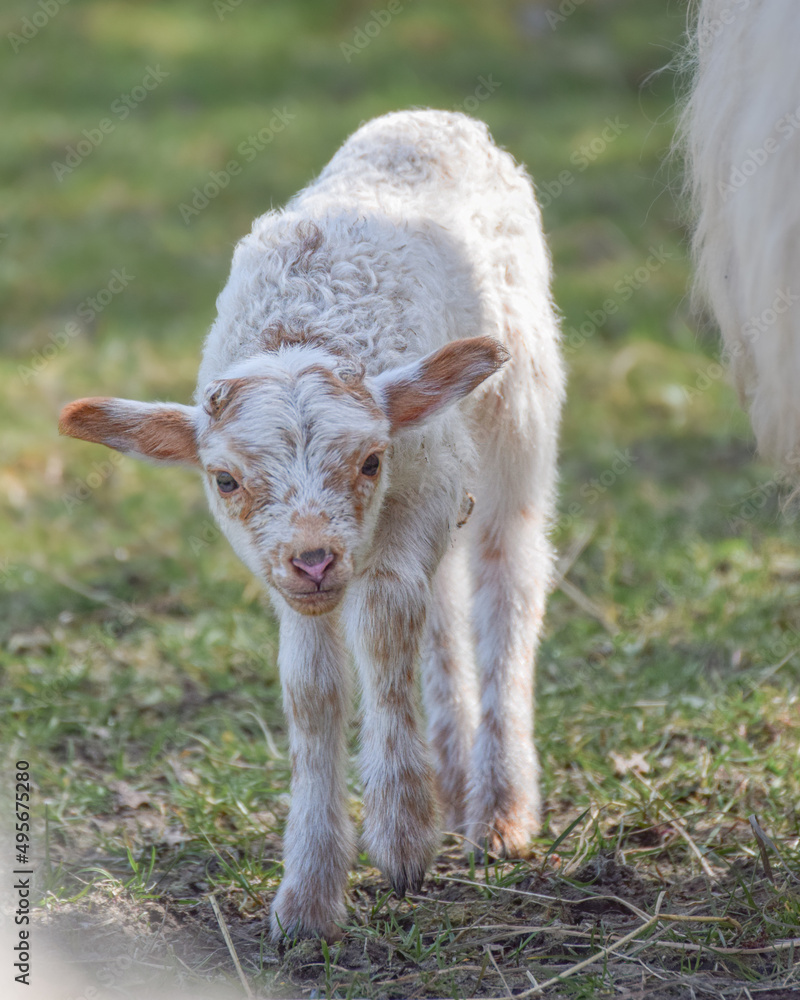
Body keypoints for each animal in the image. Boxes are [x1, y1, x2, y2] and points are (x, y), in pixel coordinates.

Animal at [58, 109, 565, 940]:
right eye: (225, 479)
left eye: (369, 460)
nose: (316, 559)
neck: (307, 327)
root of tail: (429, 117)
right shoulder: (287, 573)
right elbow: (312, 689)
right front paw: (309, 895)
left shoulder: (416, 489)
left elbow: (386, 628)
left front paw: (401, 836)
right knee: (445, 606)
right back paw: (455, 780)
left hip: (514, 407)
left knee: (505, 577)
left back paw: (497, 810)